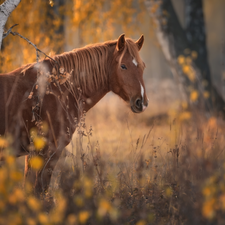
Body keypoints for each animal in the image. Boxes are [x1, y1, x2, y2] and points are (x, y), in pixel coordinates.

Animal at [0, 33, 148, 193]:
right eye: (123, 66)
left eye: (143, 66)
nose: (141, 102)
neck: (57, 89)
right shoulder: (47, 152)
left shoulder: (34, 154)